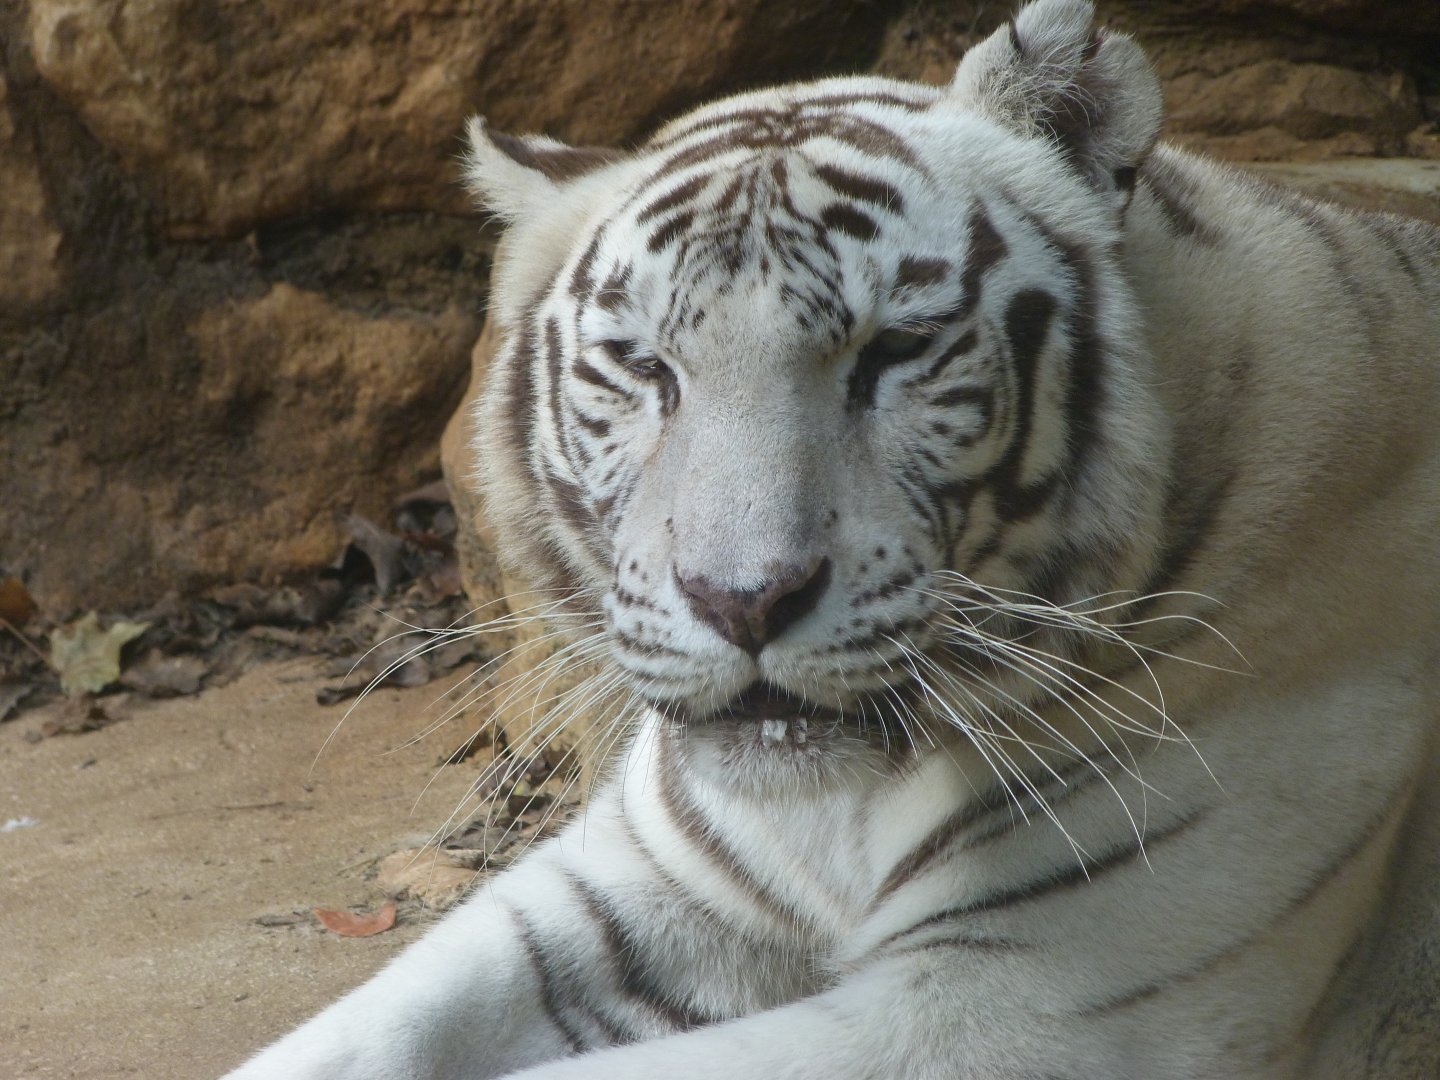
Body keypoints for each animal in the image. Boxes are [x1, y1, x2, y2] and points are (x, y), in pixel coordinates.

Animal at [222, 0, 1440, 1077]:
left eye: (895, 350)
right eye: (645, 366)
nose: (744, 599)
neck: (835, 811)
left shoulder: (1034, 1004)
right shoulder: (637, 883)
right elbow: (366, 1031)